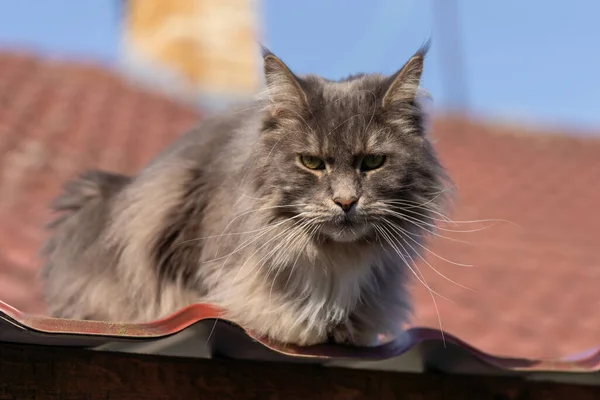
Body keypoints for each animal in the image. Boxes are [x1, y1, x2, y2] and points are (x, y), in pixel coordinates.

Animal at [39, 45, 450, 346]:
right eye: (312, 162)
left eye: (373, 162)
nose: (346, 201)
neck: (333, 258)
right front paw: (296, 322)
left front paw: (344, 327)